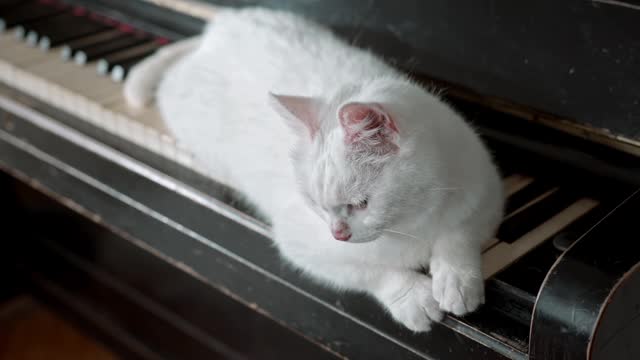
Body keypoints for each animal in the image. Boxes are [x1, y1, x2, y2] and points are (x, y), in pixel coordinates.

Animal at [124, 6, 504, 332]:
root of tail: (219, 26)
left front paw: (456, 281)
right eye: (316, 206)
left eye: (360, 203)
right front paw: (415, 297)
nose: (338, 234)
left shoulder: (486, 192)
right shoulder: (302, 247)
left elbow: (458, 235)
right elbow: (372, 270)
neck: (413, 222)